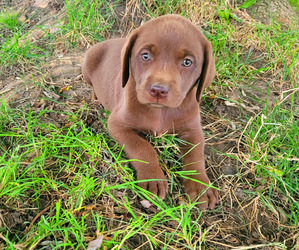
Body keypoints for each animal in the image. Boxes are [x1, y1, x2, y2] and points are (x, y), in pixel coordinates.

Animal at [83, 14, 219, 209]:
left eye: (187, 62)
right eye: (145, 55)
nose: (158, 90)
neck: (160, 111)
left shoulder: (193, 129)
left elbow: (196, 154)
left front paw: (201, 187)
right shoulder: (116, 124)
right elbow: (142, 147)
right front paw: (152, 179)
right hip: (87, 62)